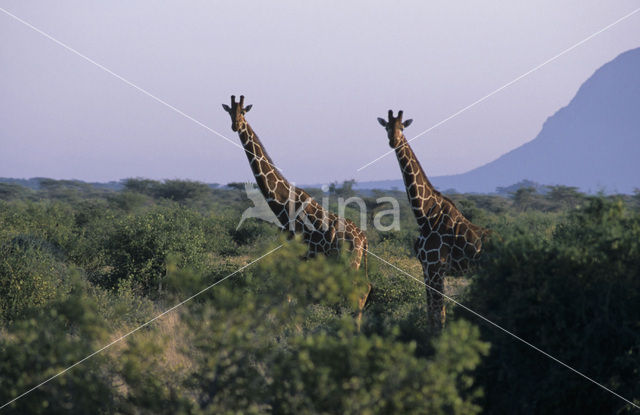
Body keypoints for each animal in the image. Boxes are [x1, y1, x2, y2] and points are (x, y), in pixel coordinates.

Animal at [225, 95, 372, 328]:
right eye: (230, 112)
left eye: (244, 112)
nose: (236, 125)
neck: (284, 205)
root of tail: (363, 238)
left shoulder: (295, 254)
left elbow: (288, 294)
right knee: (365, 287)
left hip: (349, 261)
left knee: (359, 289)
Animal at [378, 110, 488, 332]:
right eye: (387, 127)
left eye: (402, 127)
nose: (394, 141)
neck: (425, 216)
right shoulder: (426, 269)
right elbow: (431, 315)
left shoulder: (436, 268)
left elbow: (439, 316)